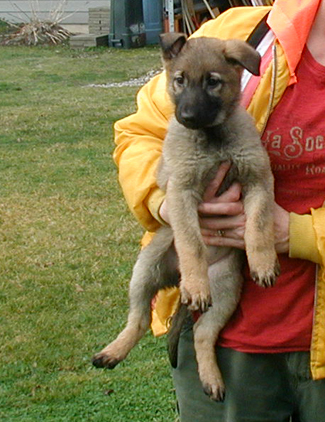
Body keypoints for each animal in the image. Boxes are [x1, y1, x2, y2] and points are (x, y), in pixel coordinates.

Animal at [92, 34, 278, 400]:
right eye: (179, 80)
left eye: (212, 81)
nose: (187, 116)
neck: (212, 139)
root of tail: (175, 282)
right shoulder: (182, 192)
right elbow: (191, 241)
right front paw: (196, 279)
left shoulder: (258, 180)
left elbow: (259, 224)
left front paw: (263, 263)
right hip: (145, 268)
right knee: (138, 319)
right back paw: (113, 351)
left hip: (226, 291)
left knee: (204, 335)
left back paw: (211, 378)